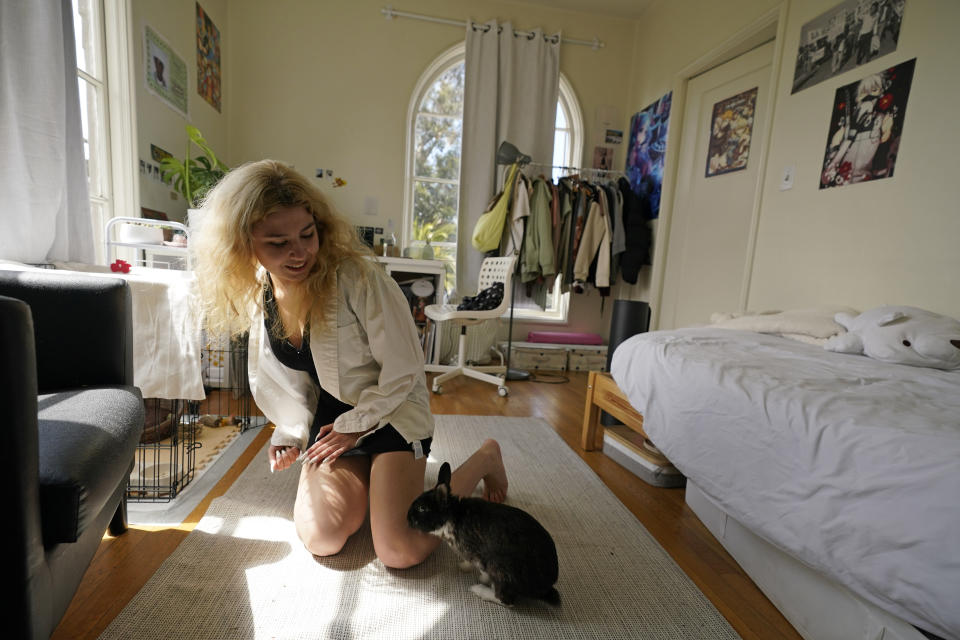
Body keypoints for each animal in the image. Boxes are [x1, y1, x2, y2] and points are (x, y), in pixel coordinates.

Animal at [406, 460, 564, 604]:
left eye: (422, 508)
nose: (407, 518)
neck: (452, 515)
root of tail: (545, 586)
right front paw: (463, 566)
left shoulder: (479, 556)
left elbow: (481, 569)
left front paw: (478, 576)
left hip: (500, 568)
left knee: (505, 599)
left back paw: (478, 589)